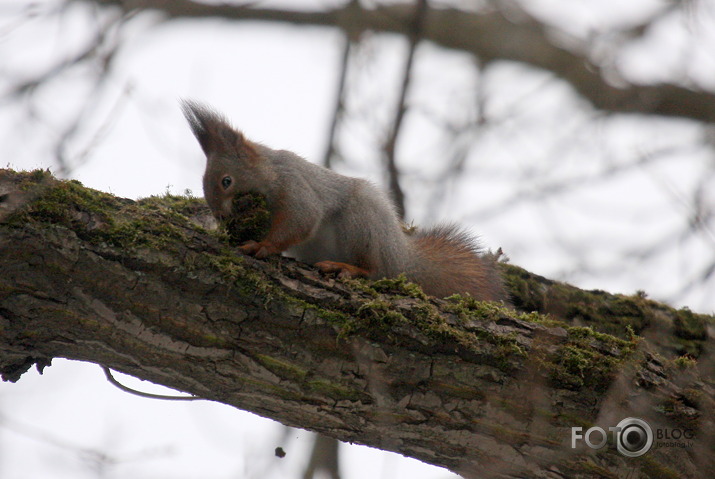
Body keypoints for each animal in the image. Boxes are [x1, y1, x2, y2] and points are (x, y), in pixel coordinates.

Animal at [185, 100, 510, 304]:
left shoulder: (295, 185)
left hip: (361, 224)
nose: (221, 215)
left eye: (226, 181)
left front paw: (263, 246)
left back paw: (348, 268)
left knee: (375, 270)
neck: (270, 170)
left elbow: (302, 218)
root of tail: (401, 258)